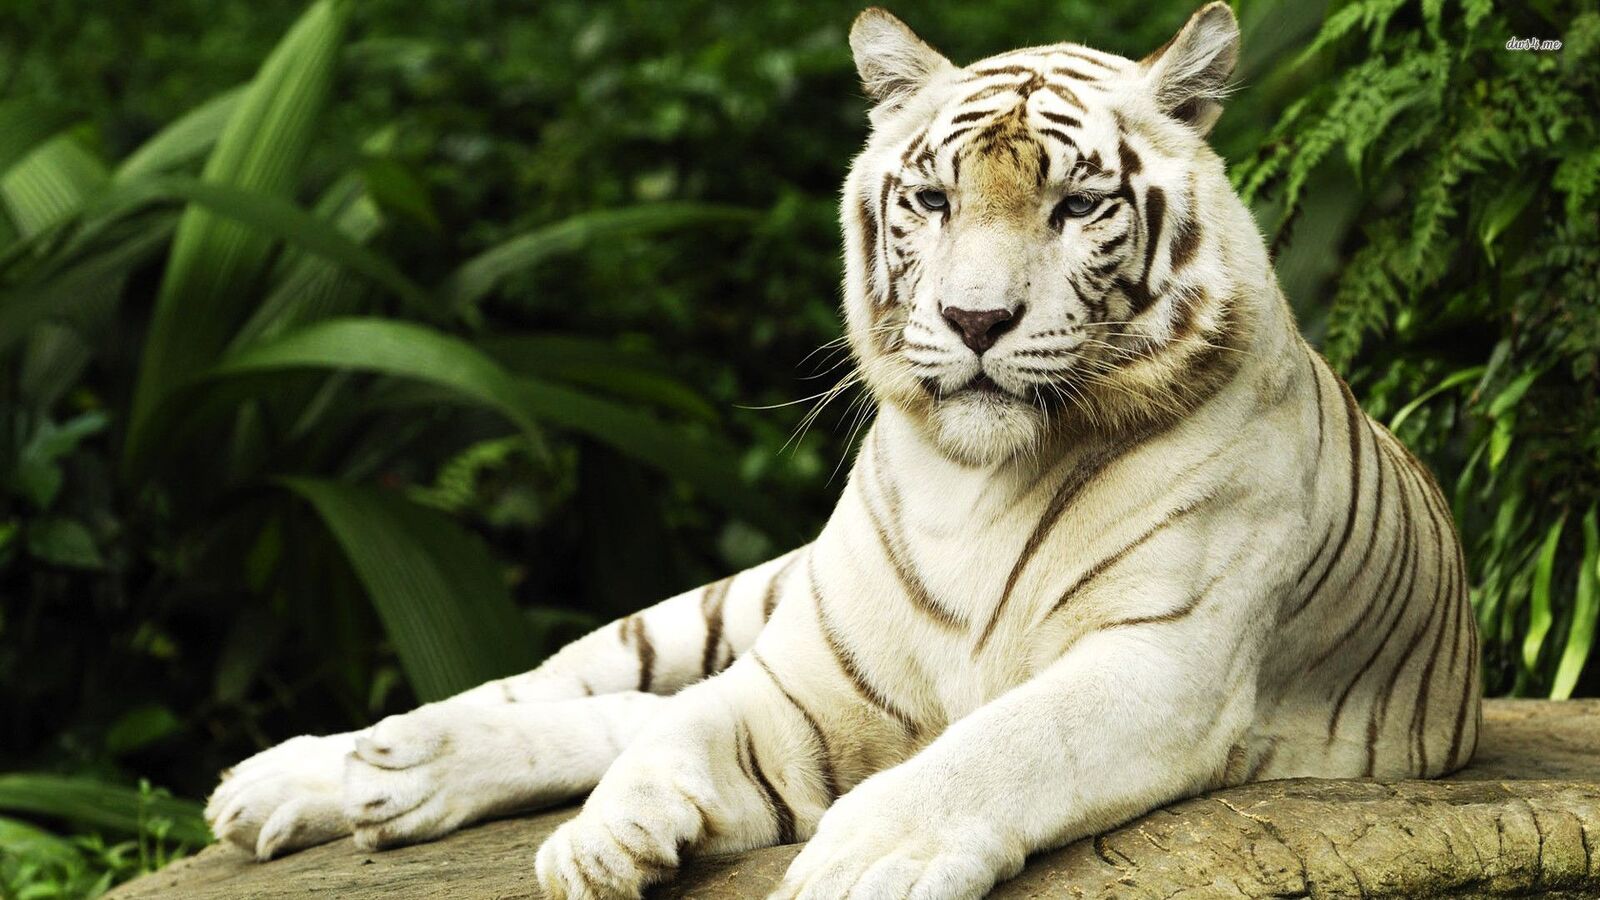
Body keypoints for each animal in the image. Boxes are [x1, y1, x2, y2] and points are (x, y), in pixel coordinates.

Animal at [204, 4, 1482, 898]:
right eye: (931, 199)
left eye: (1076, 208)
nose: (975, 320)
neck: (980, 482)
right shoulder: (808, 679)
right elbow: (681, 730)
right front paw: (606, 840)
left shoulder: (1161, 665)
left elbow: (1002, 744)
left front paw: (864, 856)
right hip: (740, 605)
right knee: (584, 687)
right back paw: (335, 770)